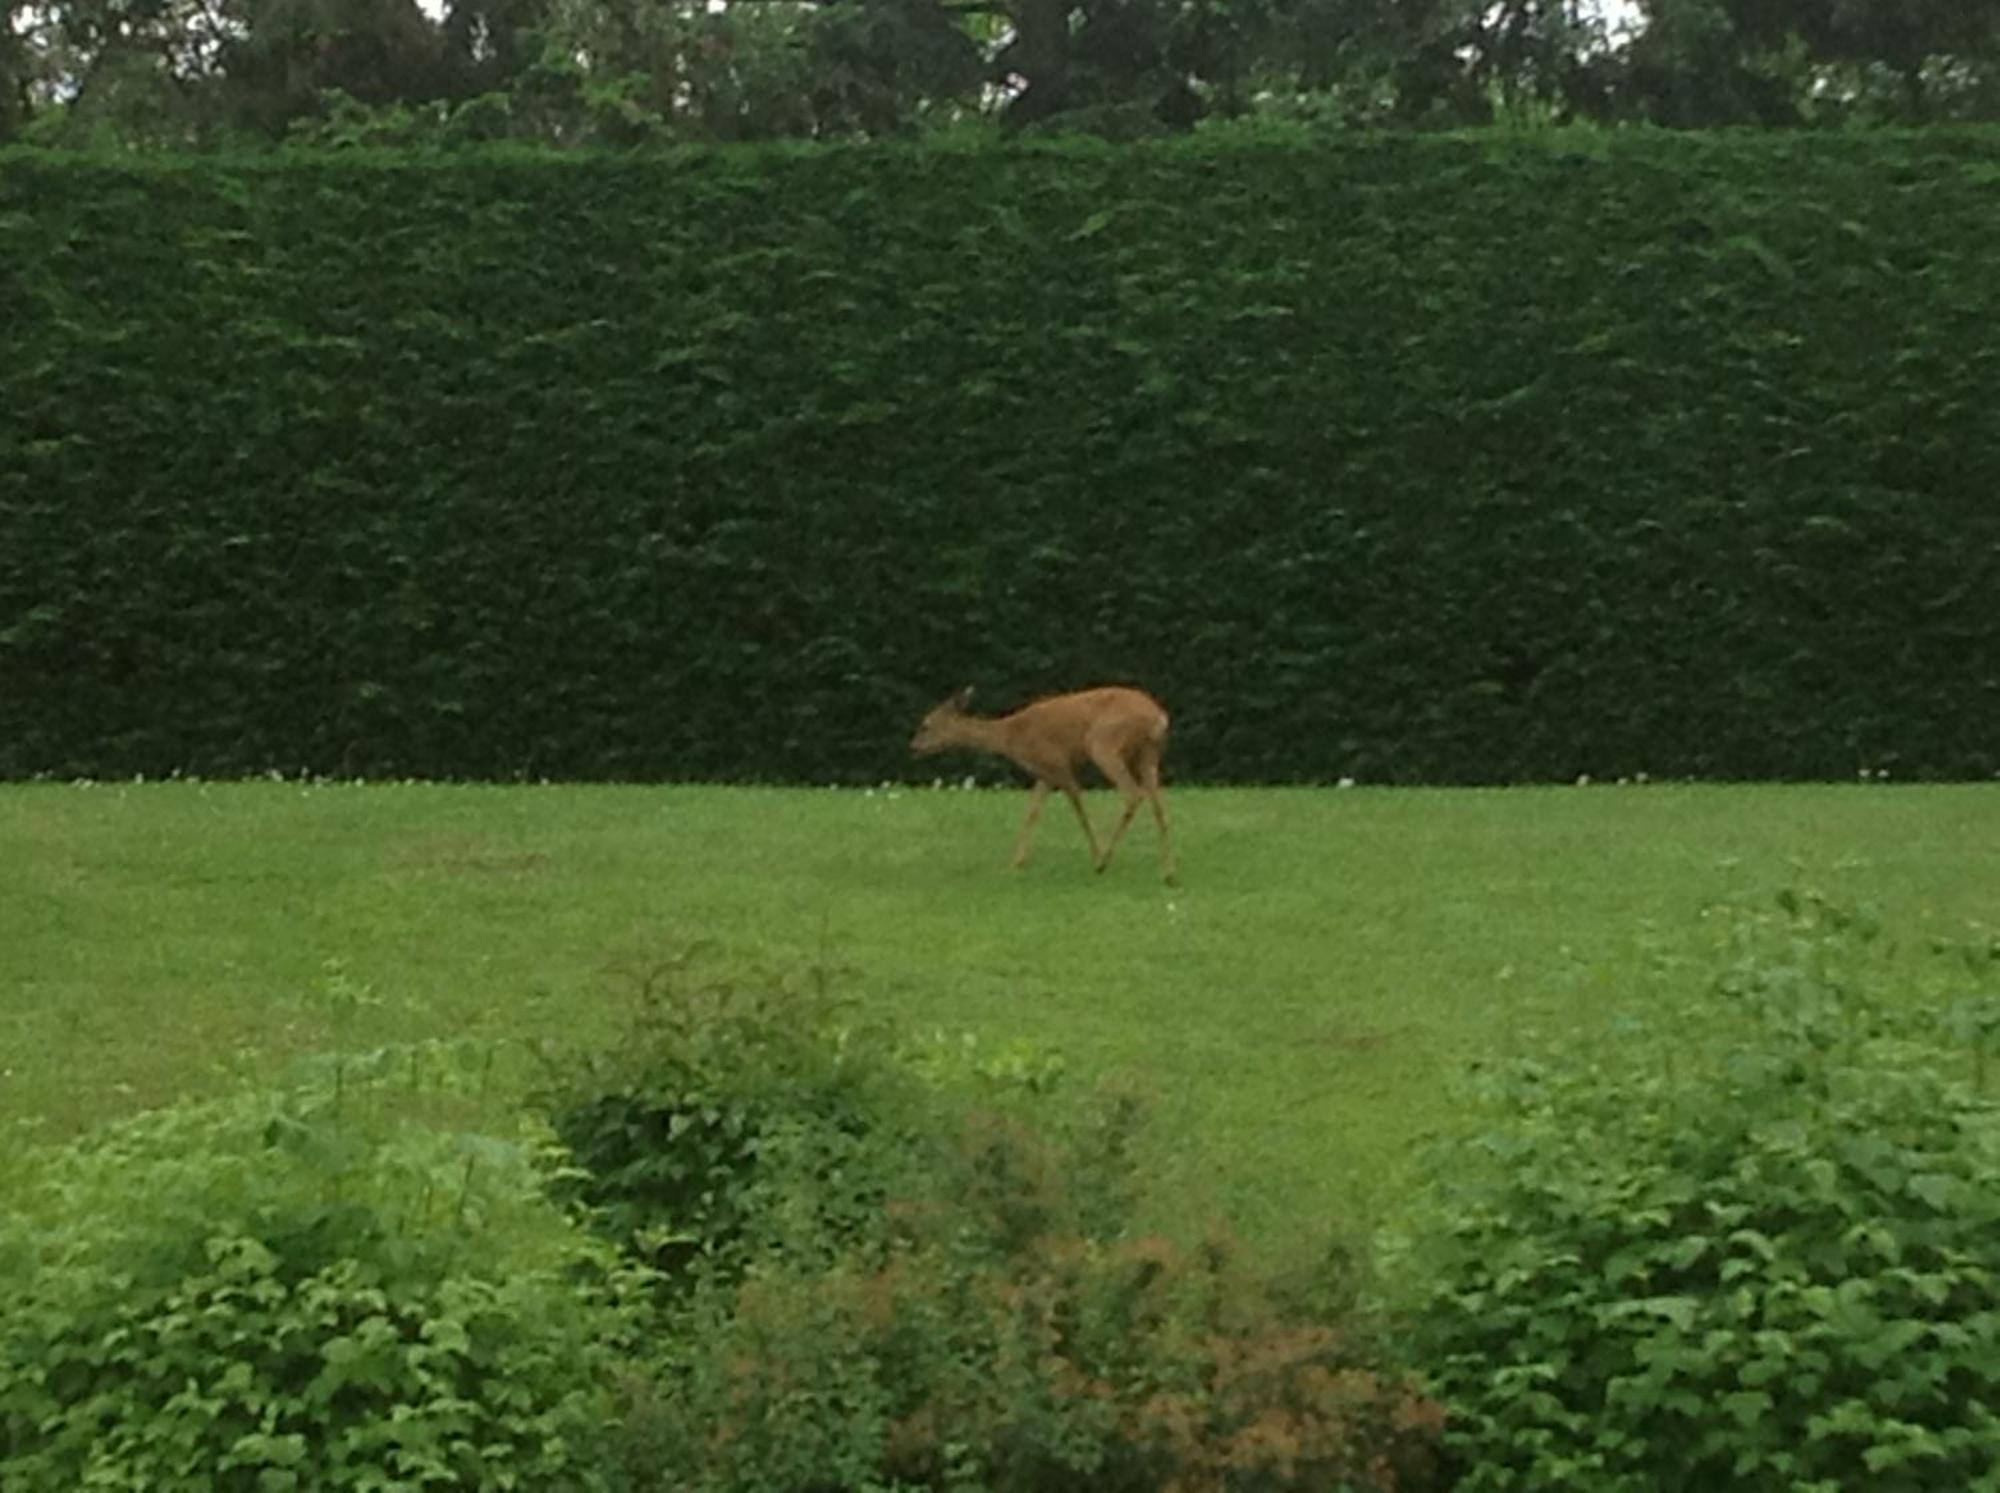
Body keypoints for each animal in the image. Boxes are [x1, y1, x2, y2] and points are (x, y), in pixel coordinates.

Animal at [908, 684, 1168, 884]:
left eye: (926, 724)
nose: (914, 747)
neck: (1011, 736)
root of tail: (1159, 718)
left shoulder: (1058, 764)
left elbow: (1079, 810)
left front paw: (1096, 856)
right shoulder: (1044, 774)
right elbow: (1032, 812)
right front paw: (1016, 862)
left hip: (1104, 743)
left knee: (1133, 793)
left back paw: (1104, 861)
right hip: (1147, 754)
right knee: (1158, 805)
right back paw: (1169, 873)